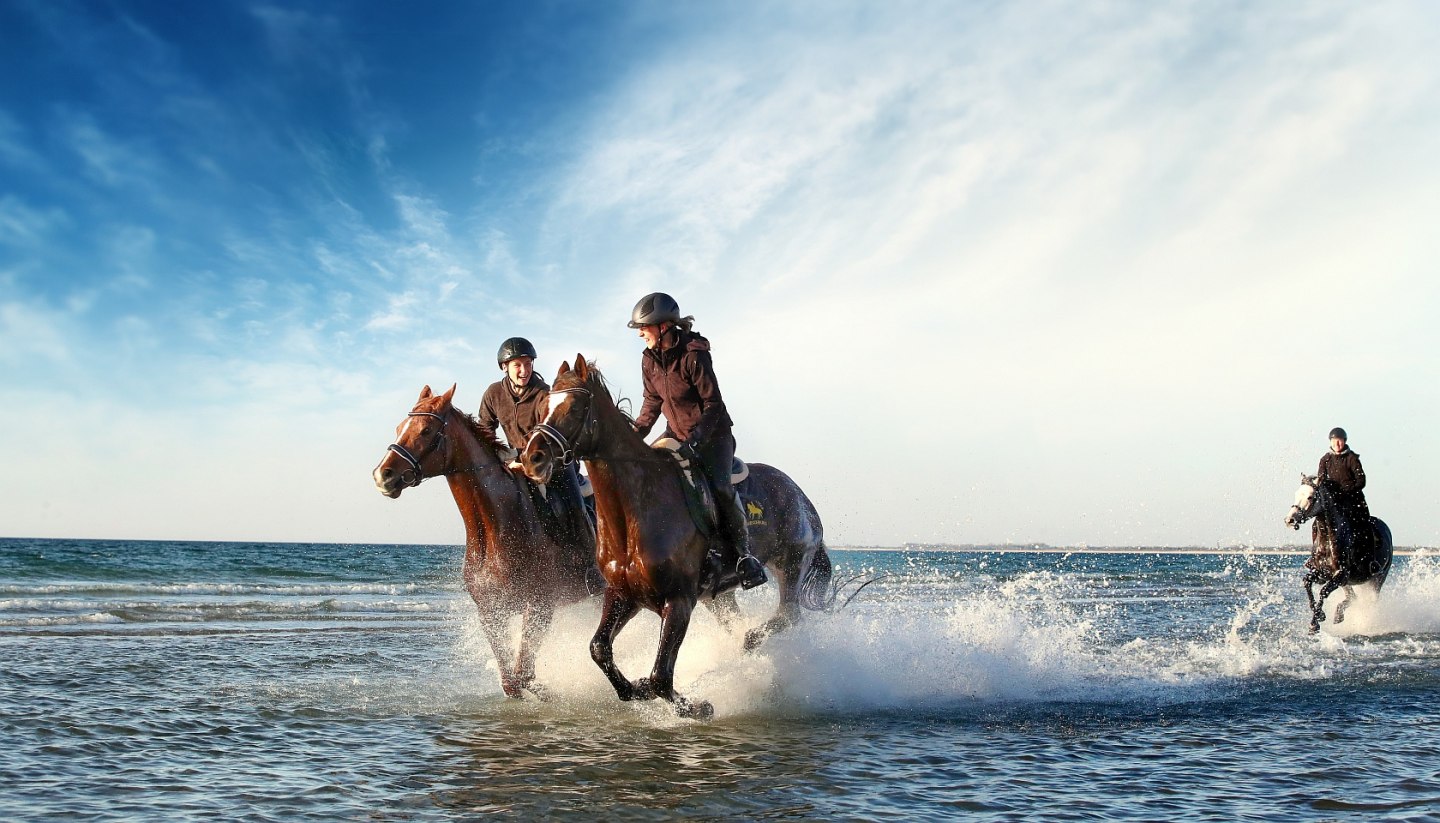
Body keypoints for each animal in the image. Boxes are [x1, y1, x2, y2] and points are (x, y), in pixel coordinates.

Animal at [374, 388, 599, 696]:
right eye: (399, 428)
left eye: (426, 430)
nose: (383, 475)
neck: (495, 525)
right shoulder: (491, 613)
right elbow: (511, 681)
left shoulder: (539, 606)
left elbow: (523, 674)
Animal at [521, 356, 835, 716]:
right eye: (543, 407)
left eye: (574, 407)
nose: (532, 458)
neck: (634, 512)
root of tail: (800, 495)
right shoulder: (623, 595)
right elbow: (599, 648)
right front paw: (634, 688)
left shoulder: (679, 600)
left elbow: (660, 676)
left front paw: (695, 707)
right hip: (719, 596)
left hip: (793, 562)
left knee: (788, 615)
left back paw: (748, 643)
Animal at [1284, 471, 1393, 633]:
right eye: (1297, 494)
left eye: (1310, 497)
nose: (1289, 520)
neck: (1328, 539)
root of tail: (1386, 528)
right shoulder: (1323, 573)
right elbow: (1307, 582)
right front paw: (1320, 614)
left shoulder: (1340, 575)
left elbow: (1323, 591)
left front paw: (1314, 623)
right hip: (1348, 582)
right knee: (1353, 598)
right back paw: (1338, 615)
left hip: (1377, 578)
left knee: (1369, 600)